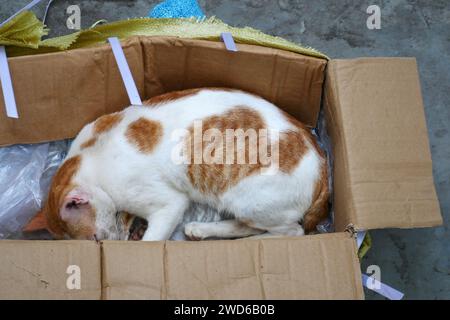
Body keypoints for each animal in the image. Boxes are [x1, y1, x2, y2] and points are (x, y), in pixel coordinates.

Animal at [24, 87, 328, 240]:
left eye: (95, 239)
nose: (109, 245)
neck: (89, 158)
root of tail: (323, 164)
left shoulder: (169, 205)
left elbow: (152, 240)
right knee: (251, 226)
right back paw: (201, 230)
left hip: (250, 202)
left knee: (291, 232)